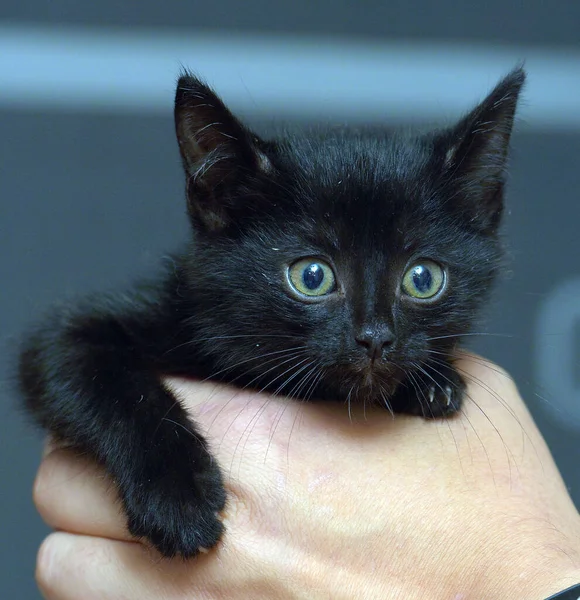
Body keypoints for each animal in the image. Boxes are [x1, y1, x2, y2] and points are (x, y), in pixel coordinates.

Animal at [18, 69, 524, 556]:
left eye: (423, 278)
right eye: (312, 276)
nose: (376, 337)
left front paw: (435, 384)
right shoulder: (74, 332)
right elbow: (112, 383)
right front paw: (177, 500)